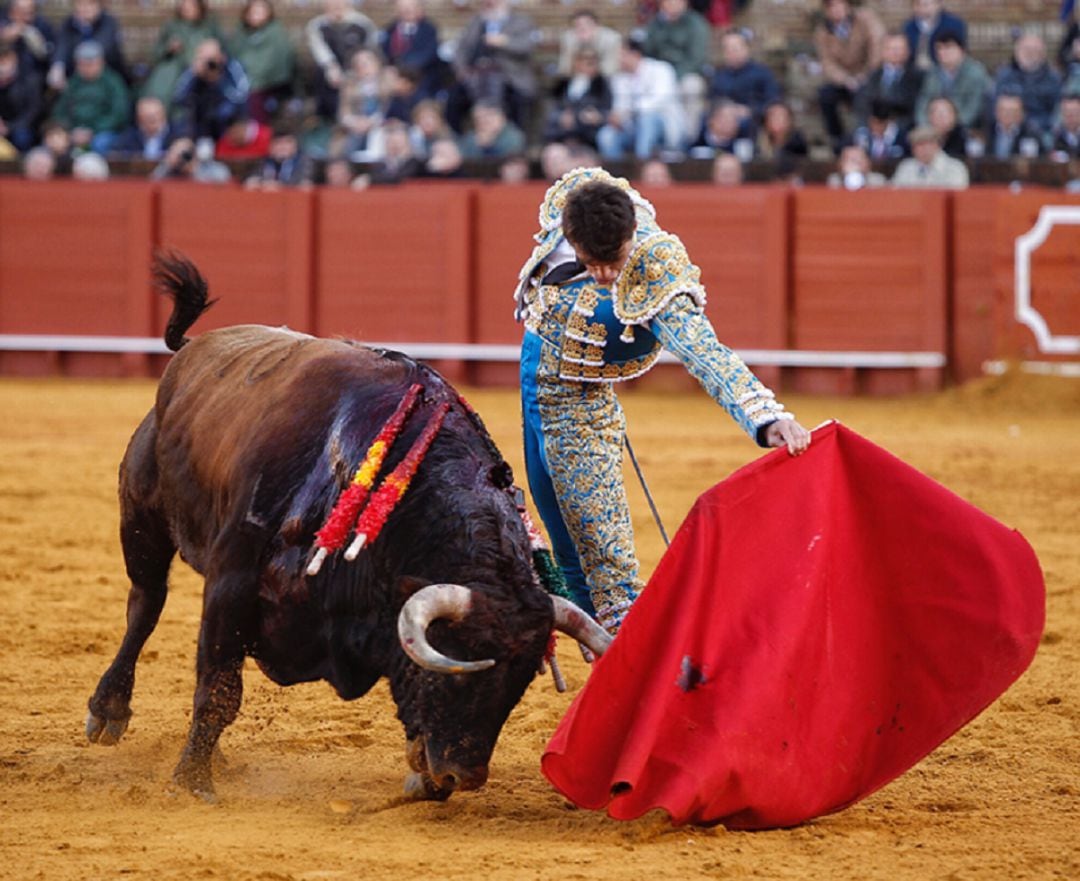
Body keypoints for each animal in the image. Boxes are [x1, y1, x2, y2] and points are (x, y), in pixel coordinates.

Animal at [84, 251, 609, 803]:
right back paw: (108, 712)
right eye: (458, 662)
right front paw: (191, 782)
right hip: (142, 519)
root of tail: (191, 350)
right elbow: (220, 689)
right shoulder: (231, 580)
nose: (460, 777)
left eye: (521, 682)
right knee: (146, 602)